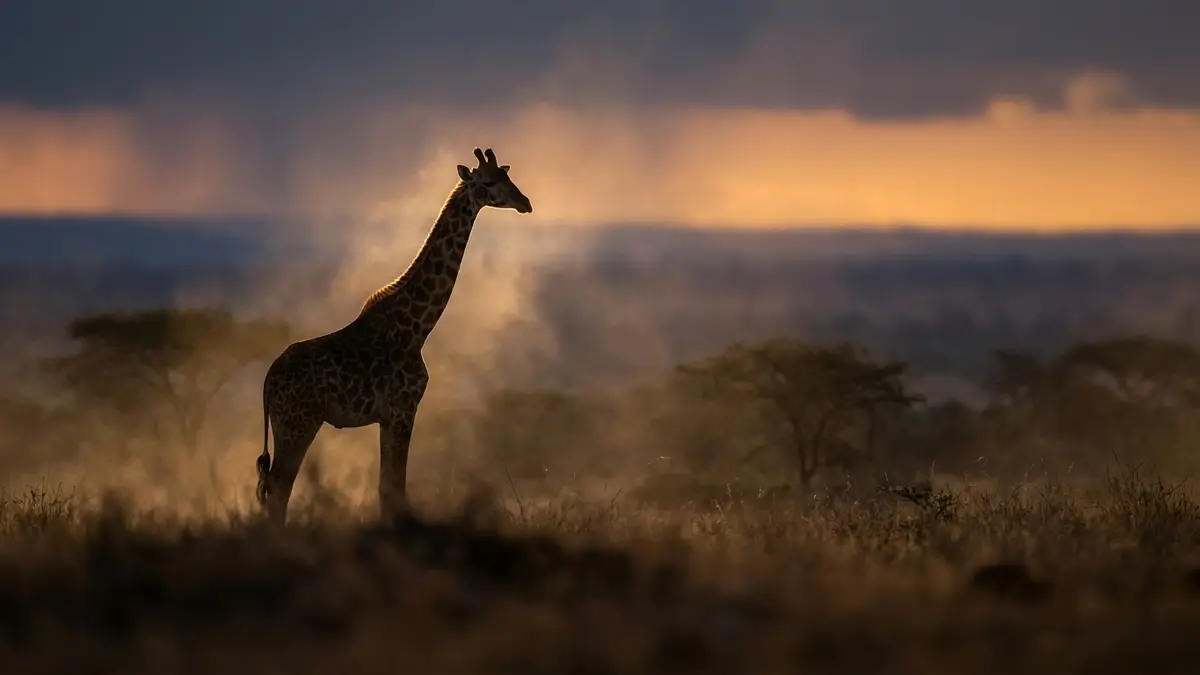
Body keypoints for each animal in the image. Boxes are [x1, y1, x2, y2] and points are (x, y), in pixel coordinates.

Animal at [255, 147, 533, 524]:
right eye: (488, 182)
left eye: (507, 176)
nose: (525, 202)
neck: (418, 327)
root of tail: (268, 381)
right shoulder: (405, 407)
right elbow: (395, 485)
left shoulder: (386, 417)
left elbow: (386, 486)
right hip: (298, 423)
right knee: (278, 488)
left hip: (287, 425)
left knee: (270, 487)